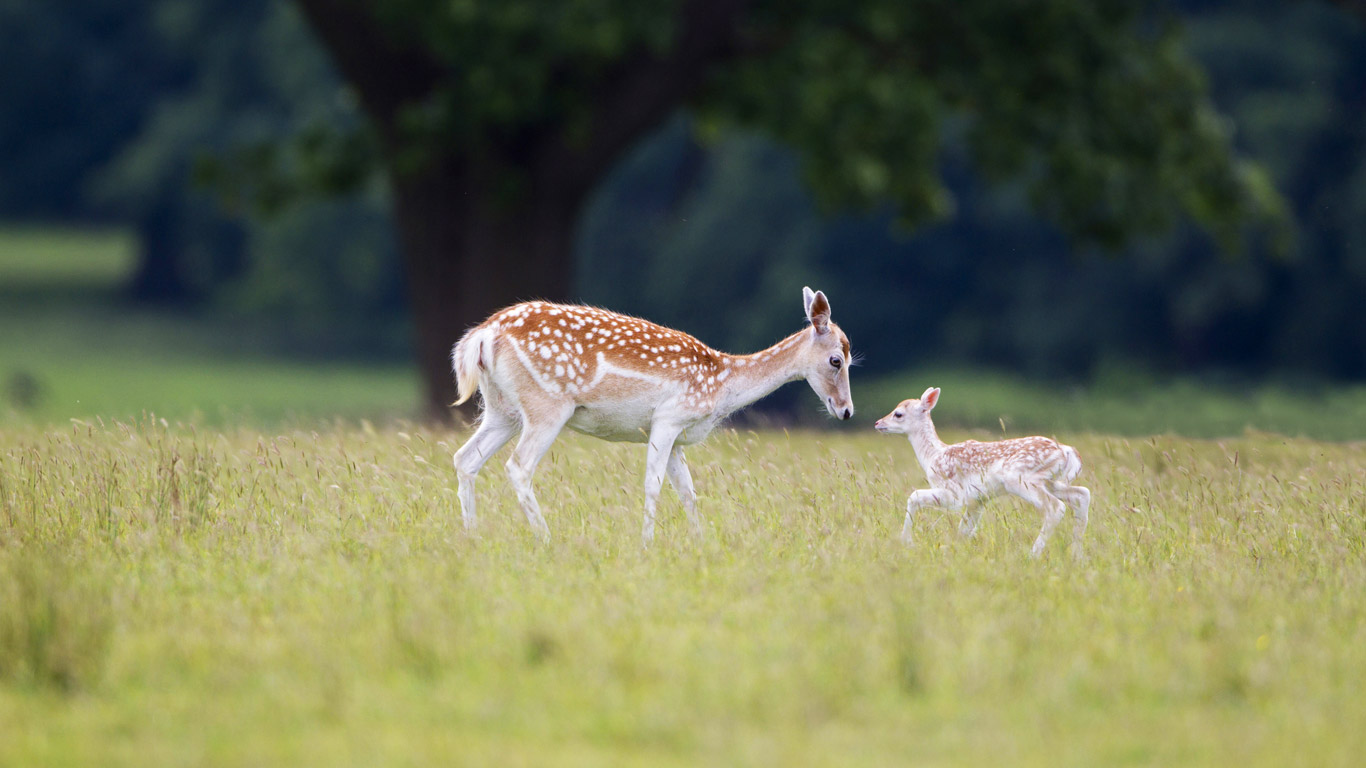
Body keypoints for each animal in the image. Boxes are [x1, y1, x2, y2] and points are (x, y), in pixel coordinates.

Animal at [450, 287, 854, 545]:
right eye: (837, 360)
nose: (846, 411)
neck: (721, 383)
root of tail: (482, 336)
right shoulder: (668, 418)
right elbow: (653, 484)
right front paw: (646, 545)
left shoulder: (678, 437)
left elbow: (688, 491)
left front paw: (701, 544)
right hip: (546, 404)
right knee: (518, 466)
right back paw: (547, 540)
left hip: (502, 409)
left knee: (465, 458)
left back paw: (472, 537)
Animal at [874, 387, 1090, 558]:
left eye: (898, 414)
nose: (877, 423)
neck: (933, 456)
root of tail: (1067, 451)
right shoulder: (977, 501)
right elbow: (963, 530)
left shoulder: (954, 494)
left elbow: (914, 496)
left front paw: (906, 542)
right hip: (1049, 481)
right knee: (1082, 494)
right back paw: (1077, 555)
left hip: (1020, 479)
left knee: (1056, 507)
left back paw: (1033, 555)